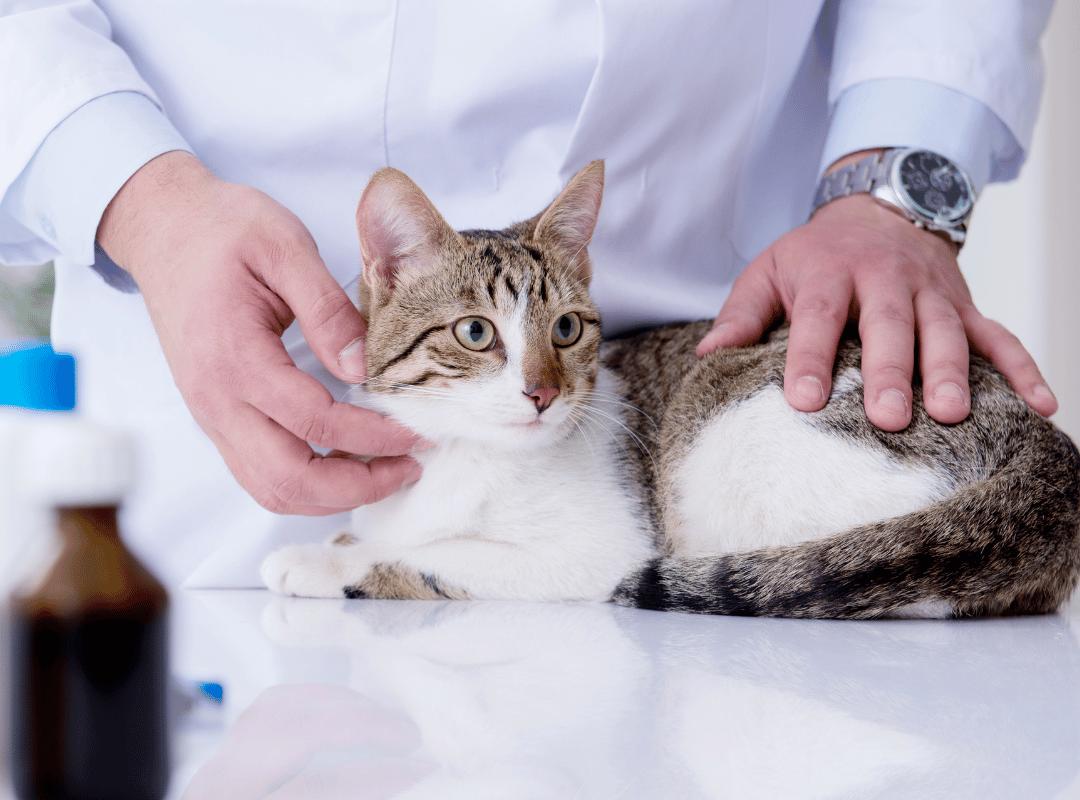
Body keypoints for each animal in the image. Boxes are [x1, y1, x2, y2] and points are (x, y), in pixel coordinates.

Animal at [261, 157, 1080, 617]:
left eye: (566, 329)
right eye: (475, 333)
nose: (541, 394)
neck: (458, 458)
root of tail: (1049, 453)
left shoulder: (600, 552)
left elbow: (441, 555)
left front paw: (323, 562)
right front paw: (339, 538)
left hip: (736, 447)